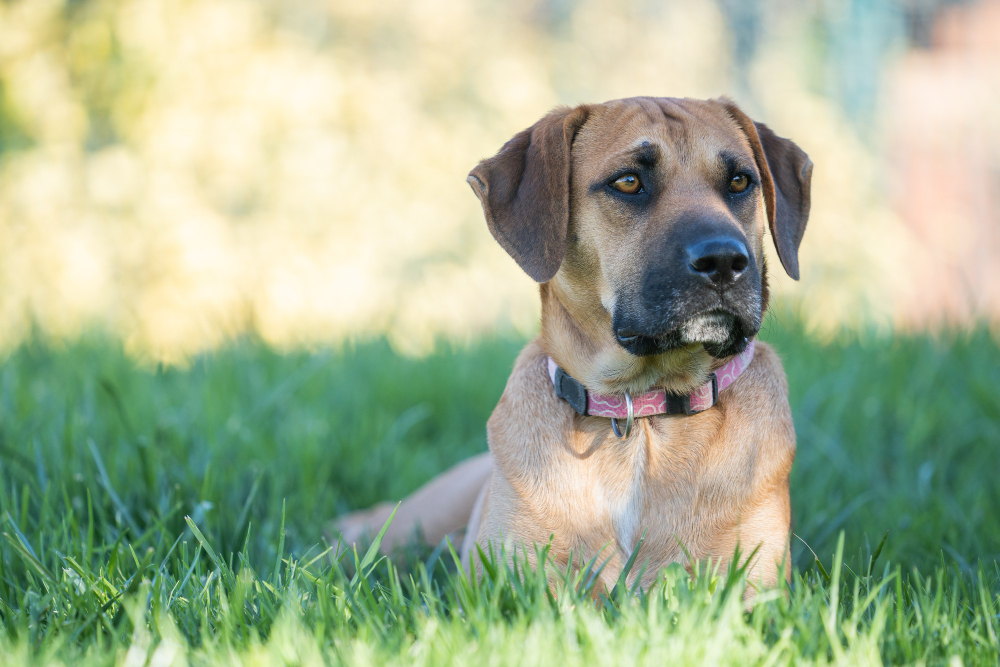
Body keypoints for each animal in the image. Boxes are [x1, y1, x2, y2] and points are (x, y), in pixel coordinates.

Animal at [336, 95, 812, 596]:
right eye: (628, 181)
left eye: (740, 181)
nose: (724, 260)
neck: (640, 414)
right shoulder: (506, 584)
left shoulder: (751, 587)